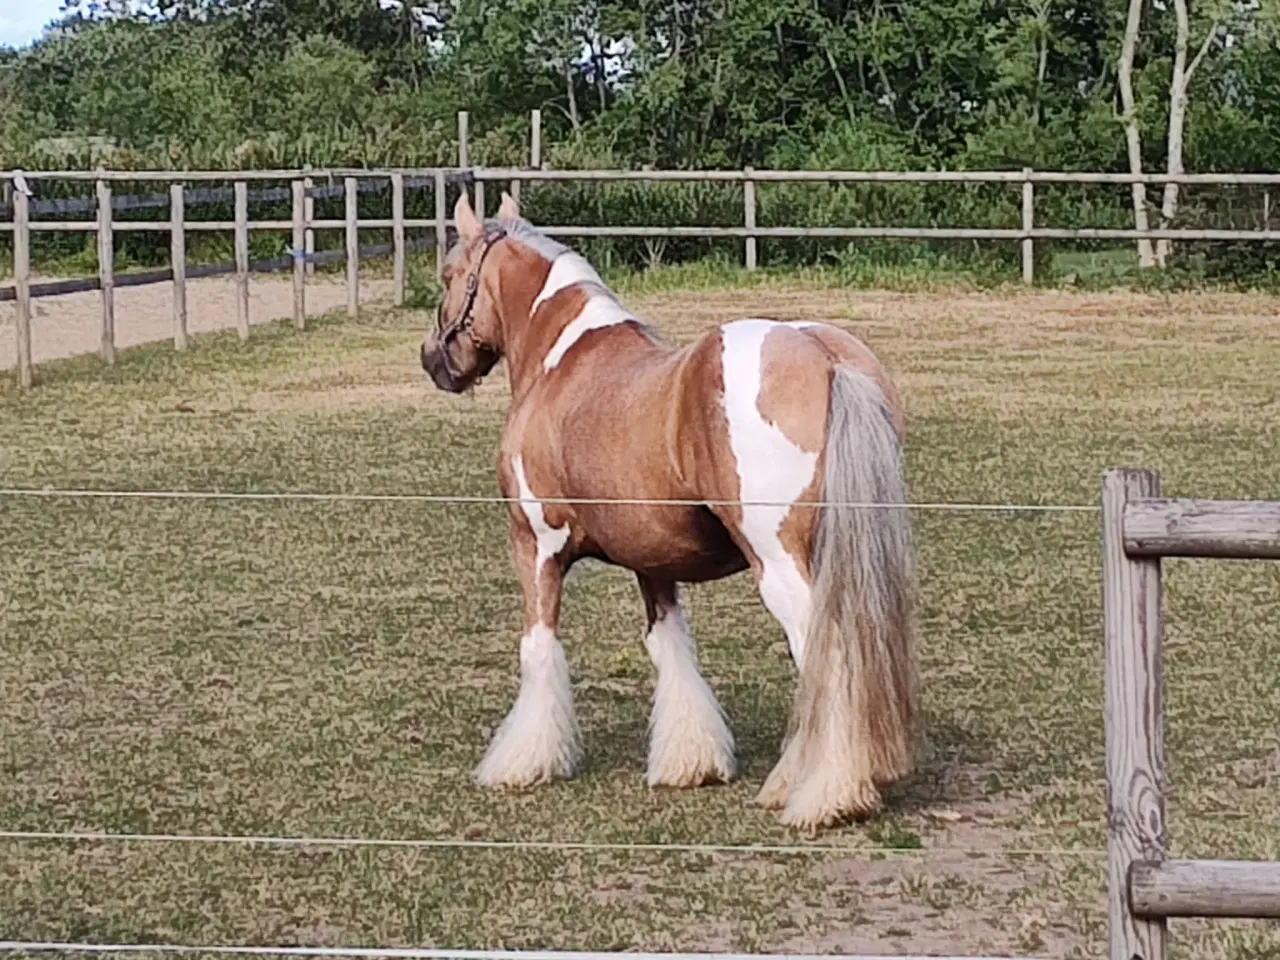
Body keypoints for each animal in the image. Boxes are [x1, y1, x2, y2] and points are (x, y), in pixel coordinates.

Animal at [419, 192, 921, 829]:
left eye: (450, 275)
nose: (435, 362)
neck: (563, 364)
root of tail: (827, 358)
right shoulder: (653, 559)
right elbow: (671, 647)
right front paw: (692, 763)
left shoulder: (534, 545)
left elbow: (538, 648)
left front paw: (522, 763)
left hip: (783, 567)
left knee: (823, 657)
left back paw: (820, 794)